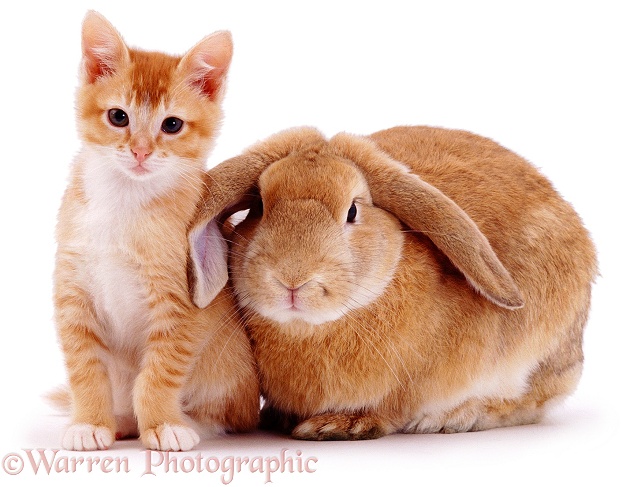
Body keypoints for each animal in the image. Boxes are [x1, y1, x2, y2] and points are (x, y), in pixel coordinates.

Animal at [53, 11, 260, 452]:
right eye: (119, 117)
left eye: (172, 124)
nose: (141, 151)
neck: (125, 201)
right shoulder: (72, 290)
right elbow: (84, 368)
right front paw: (89, 422)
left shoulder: (182, 305)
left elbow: (159, 373)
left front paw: (163, 424)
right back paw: (120, 420)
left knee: (227, 418)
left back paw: (185, 422)